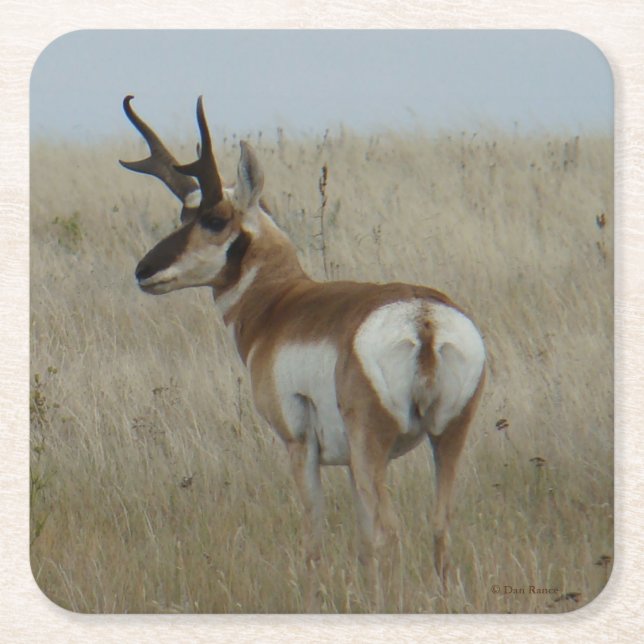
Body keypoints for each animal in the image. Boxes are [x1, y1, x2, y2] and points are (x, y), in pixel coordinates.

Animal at [120, 95, 486, 610]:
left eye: (213, 218)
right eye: (182, 216)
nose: (144, 270)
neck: (282, 303)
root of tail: (423, 318)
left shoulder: (300, 446)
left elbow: (315, 537)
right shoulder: (352, 463)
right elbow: (360, 539)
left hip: (374, 444)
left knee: (390, 530)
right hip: (447, 437)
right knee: (438, 526)